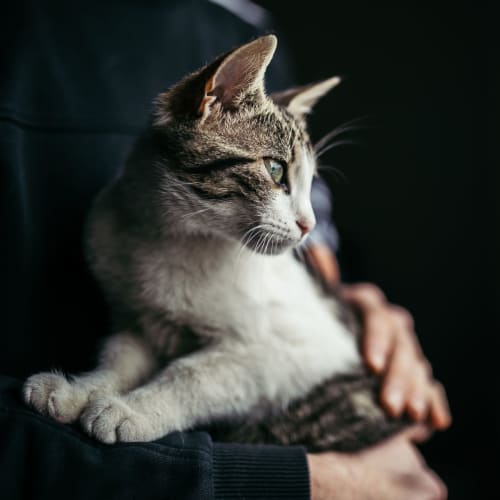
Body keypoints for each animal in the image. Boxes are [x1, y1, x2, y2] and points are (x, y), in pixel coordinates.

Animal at [23, 34, 406, 450]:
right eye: (276, 169)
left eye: (310, 183)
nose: (309, 224)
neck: (172, 240)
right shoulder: (139, 320)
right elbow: (118, 357)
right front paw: (78, 390)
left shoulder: (299, 350)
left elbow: (195, 374)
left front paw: (133, 411)